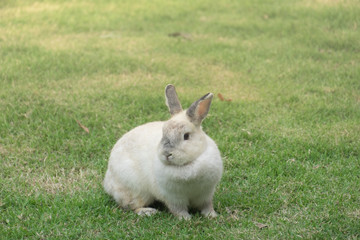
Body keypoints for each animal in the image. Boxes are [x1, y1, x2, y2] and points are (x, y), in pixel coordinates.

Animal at [102, 84, 224, 219]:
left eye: (186, 136)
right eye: (163, 133)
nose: (167, 154)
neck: (188, 165)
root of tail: (108, 183)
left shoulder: (206, 193)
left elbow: (207, 205)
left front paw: (212, 215)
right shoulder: (173, 197)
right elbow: (178, 209)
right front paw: (185, 219)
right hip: (136, 192)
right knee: (131, 207)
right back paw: (148, 211)